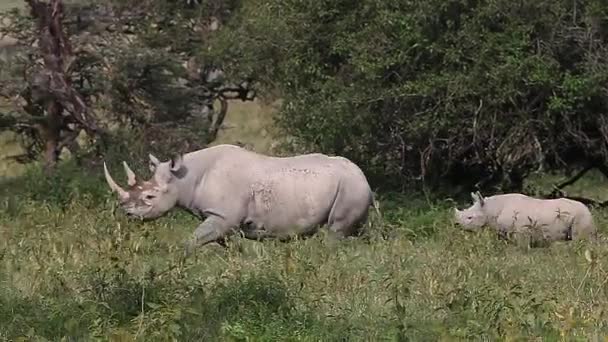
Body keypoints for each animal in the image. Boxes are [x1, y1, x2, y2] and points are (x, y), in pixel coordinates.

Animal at [104, 144, 380, 254]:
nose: (127, 213)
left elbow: (191, 242)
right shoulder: (221, 220)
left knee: (335, 231)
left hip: (351, 187)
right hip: (350, 186)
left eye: (150, 196)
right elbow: (228, 245)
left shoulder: (222, 216)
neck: (183, 178)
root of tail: (363, 175)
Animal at [454, 192, 596, 240]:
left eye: (470, 218)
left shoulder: (521, 232)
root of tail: (588, 209)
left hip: (581, 216)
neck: (490, 209)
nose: (457, 225)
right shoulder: (503, 230)